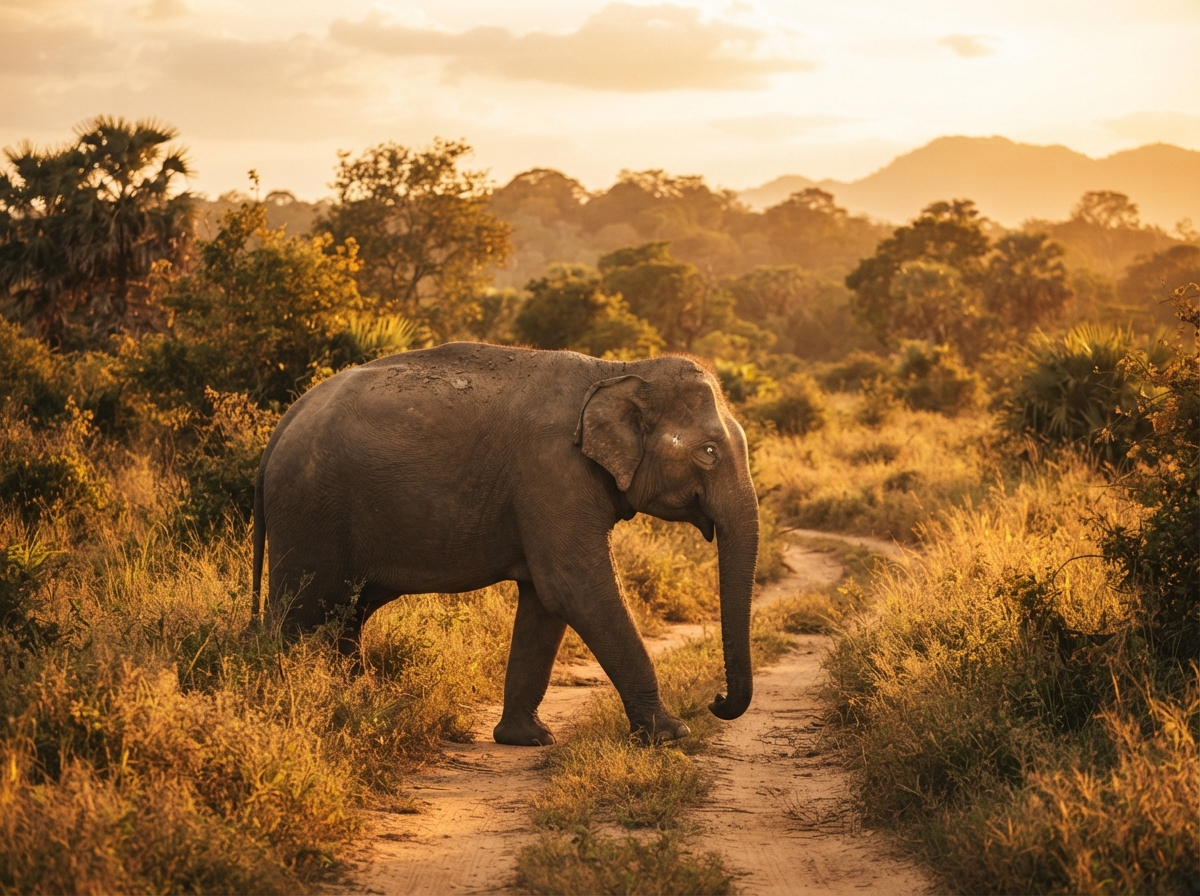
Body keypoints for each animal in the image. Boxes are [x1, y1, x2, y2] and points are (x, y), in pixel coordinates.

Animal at [252, 342, 759, 746]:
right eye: (708, 452)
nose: (716, 700)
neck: (619, 369)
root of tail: (282, 426)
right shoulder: (551, 471)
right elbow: (575, 588)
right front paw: (671, 735)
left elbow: (546, 601)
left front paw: (527, 739)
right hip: (307, 510)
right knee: (301, 609)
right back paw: (282, 699)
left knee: (346, 614)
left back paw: (358, 702)